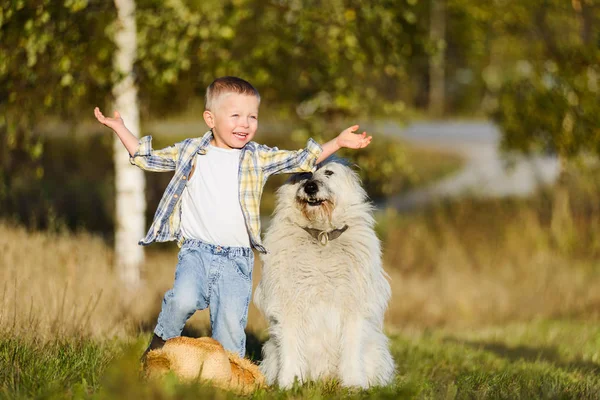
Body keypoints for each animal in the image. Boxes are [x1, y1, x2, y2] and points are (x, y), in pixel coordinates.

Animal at [255, 159, 396, 388]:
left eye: (329, 172)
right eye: (303, 174)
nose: (311, 187)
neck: (322, 235)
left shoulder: (353, 306)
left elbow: (351, 346)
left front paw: (354, 385)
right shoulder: (289, 304)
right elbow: (290, 346)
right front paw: (288, 384)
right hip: (271, 351)